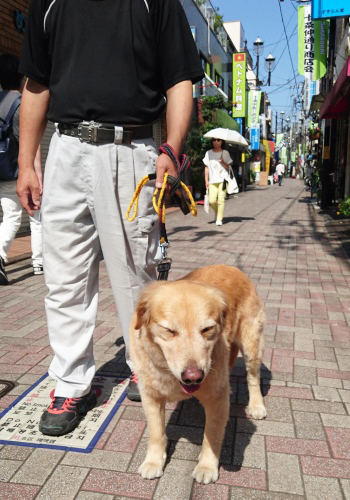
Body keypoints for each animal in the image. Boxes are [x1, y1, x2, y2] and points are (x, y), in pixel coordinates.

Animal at [130, 264, 266, 482]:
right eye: (169, 330)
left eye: (207, 329)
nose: (193, 376)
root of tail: (232, 267)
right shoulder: (150, 396)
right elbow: (156, 432)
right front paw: (153, 462)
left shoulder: (216, 397)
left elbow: (212, 434)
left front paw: (207, 466)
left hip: (251, 344)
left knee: (253, 377)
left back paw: (256, 405)